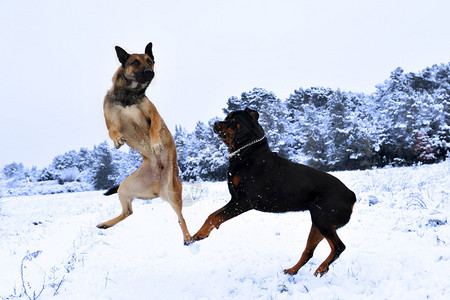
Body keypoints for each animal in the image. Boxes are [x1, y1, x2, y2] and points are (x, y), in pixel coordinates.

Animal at [97, 42, 192, 245]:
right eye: (135, 62)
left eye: (150, 61)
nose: (150, 72)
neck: (129, 96)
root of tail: (158, 189)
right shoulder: (111, 121)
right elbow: (112, 131)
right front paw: (117, 140)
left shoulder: (153, 116)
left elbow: (153, 130)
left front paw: (155, 145)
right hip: (125, 188)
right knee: (128, 212)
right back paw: (107, 223)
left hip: (173, 193)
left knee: (181, 218)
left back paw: (189, 238)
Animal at [193, 108, 356, 276]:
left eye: (231, 119)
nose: (215, 123)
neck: (247, 153)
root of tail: (351, 195)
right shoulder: (235, 199)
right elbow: (212, 215)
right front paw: (197, 234)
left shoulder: (246, 201)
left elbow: (216, 217)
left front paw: (199, 234)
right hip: (319, 222)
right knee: (309, 251)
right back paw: (293, 270)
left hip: (322, 219)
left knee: (339, 246)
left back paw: (322, 267)